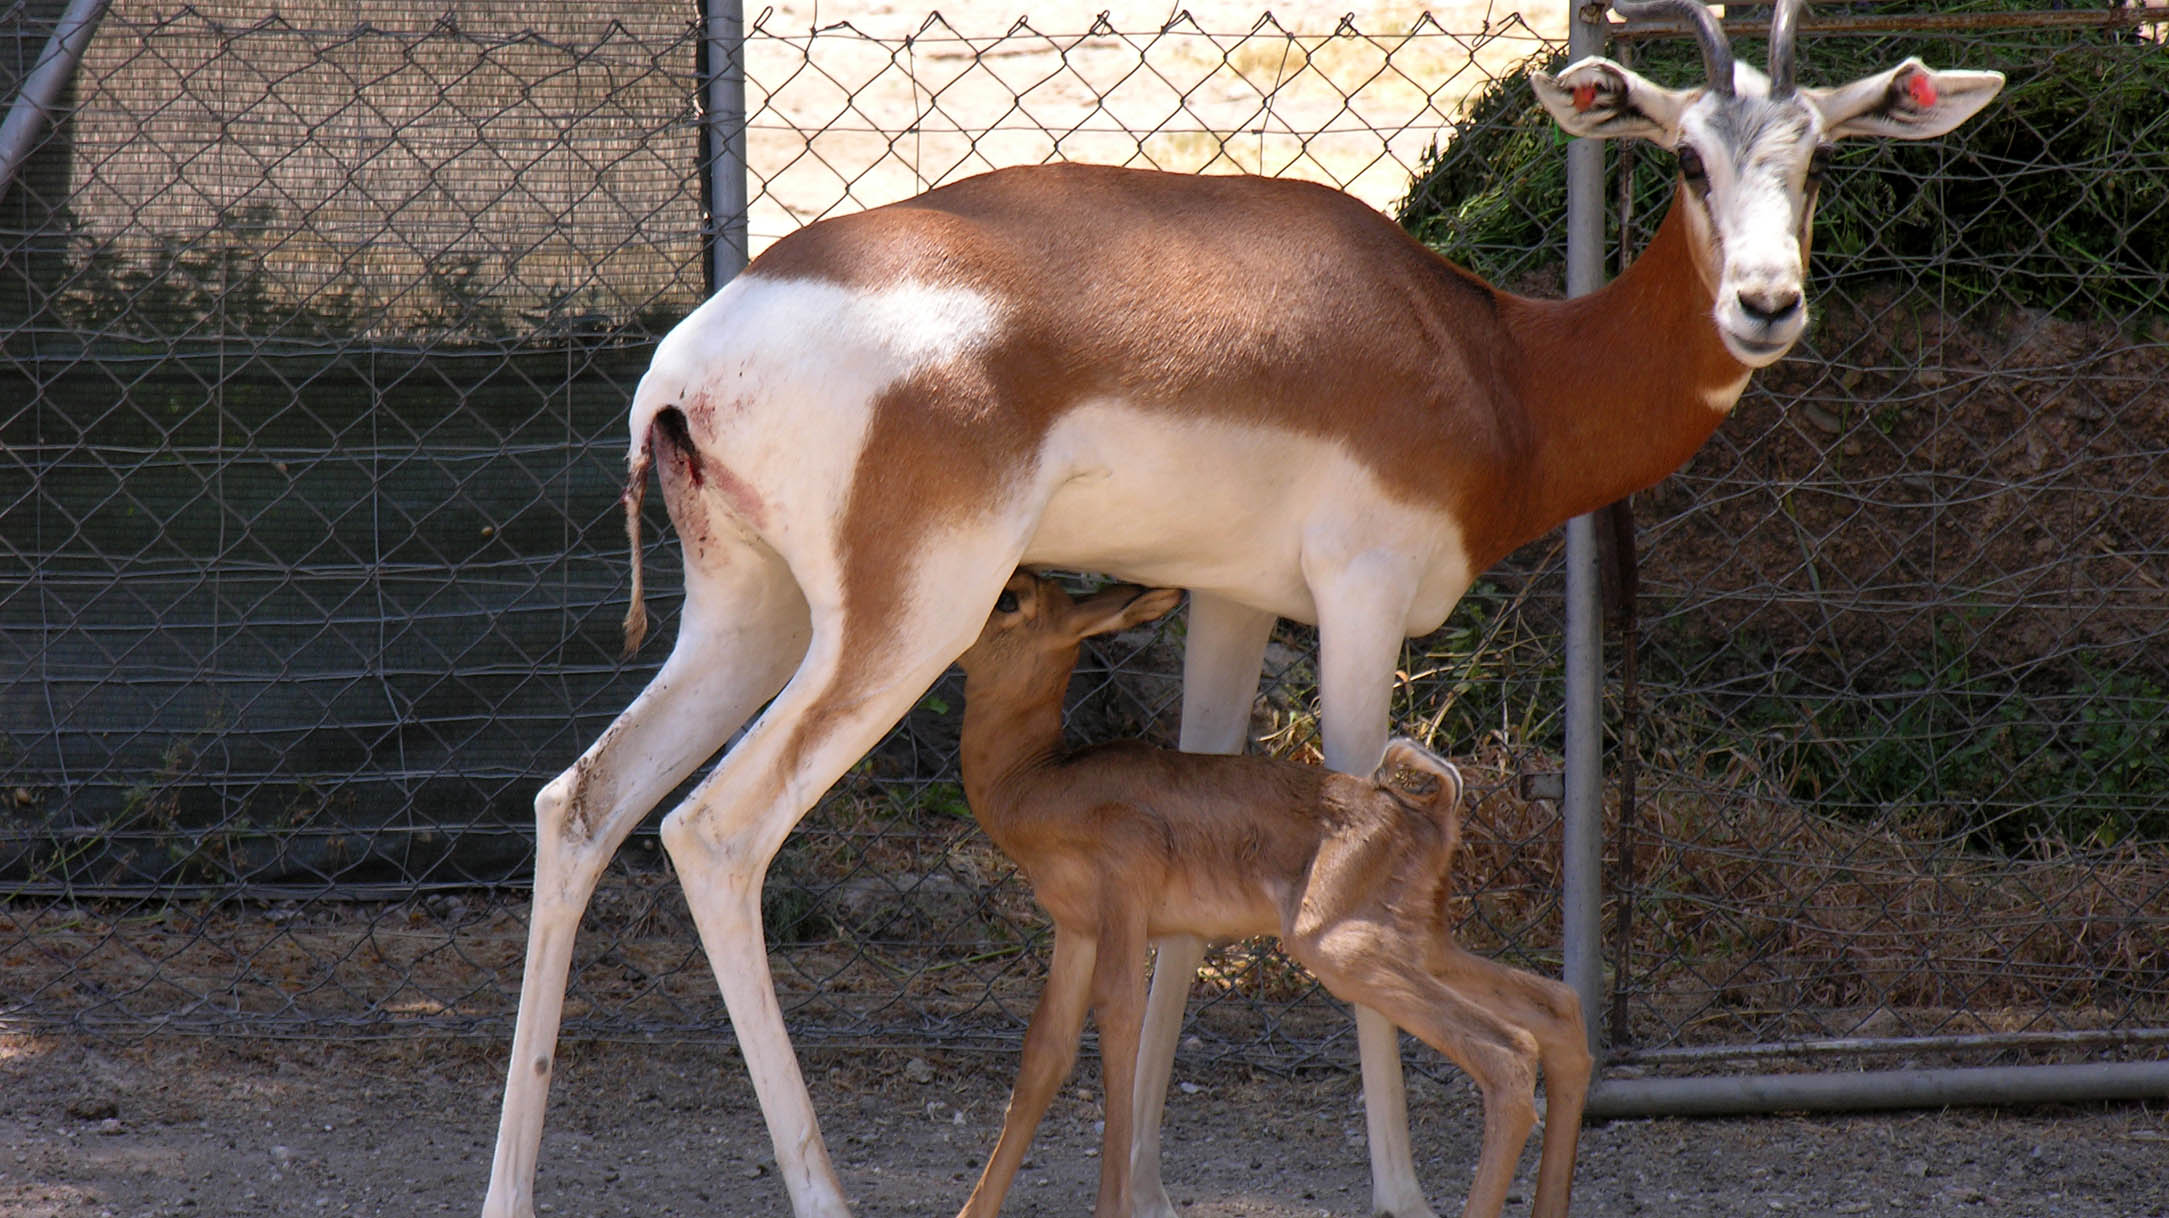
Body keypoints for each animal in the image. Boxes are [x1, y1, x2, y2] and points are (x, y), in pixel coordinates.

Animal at [958, 572, 1587, 1213]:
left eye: (1009, 599)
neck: (1036, 784)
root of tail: (1431, 813)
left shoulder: (1123, 906)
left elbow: (1118, 1024)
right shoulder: (1074, 928)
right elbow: (1045, 1052)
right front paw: (971, 1209)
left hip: (1339, 948)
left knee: (1509, 1053)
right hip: (1418, 942)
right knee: (1558, 1008)